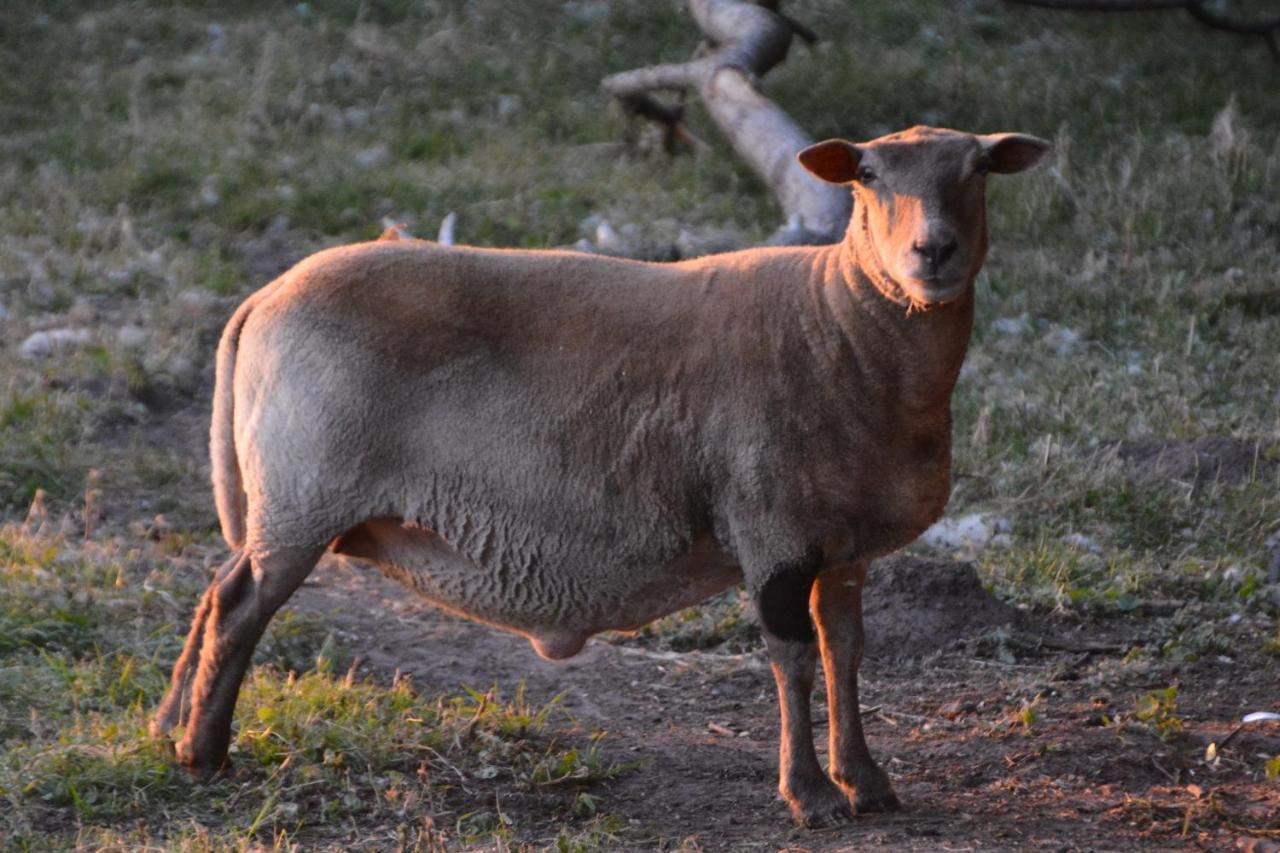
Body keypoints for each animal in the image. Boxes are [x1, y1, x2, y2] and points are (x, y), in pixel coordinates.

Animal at [154, 124, 1044, 824]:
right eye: (868, 177)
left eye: (976, 170)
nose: (933, 251)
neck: (841, 320)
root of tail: (265, 297)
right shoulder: (773, 527)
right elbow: (792, 661)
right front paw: (812, 794)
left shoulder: (843, 544)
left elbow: (845, 652)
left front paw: (867, 781)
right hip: (306, 485)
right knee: (238, 602)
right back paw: (204, 751)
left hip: (287, 496)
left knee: (216, 586)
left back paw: (171, 726)